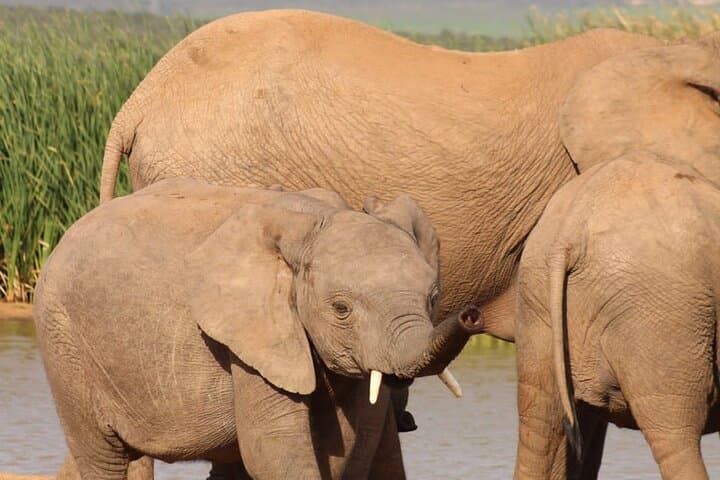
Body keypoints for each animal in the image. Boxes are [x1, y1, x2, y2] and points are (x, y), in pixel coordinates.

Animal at [34, 179, 481, 480]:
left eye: (433, 297)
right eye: (341, 309)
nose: (472, 316)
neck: (312, 221)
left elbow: (354, 445)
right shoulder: (248, 335)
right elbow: (273, 447)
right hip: (64, 343)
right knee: (103, 456)